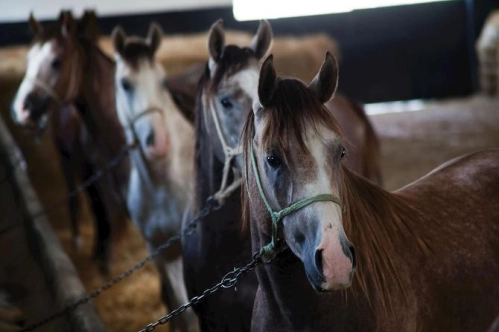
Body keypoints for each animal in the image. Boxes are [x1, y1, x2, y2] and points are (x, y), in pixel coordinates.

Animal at [11, 11, 131, 274]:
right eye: (28, 59)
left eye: (56, 62)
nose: (20, 109)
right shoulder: (93, 170)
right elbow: (100, 209)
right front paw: (100, 254)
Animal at [112, 24, 200, 332]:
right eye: (125, 84)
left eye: (161, 82)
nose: (157, 142)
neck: (162, 182)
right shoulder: (161, 253)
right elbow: (182, 310)